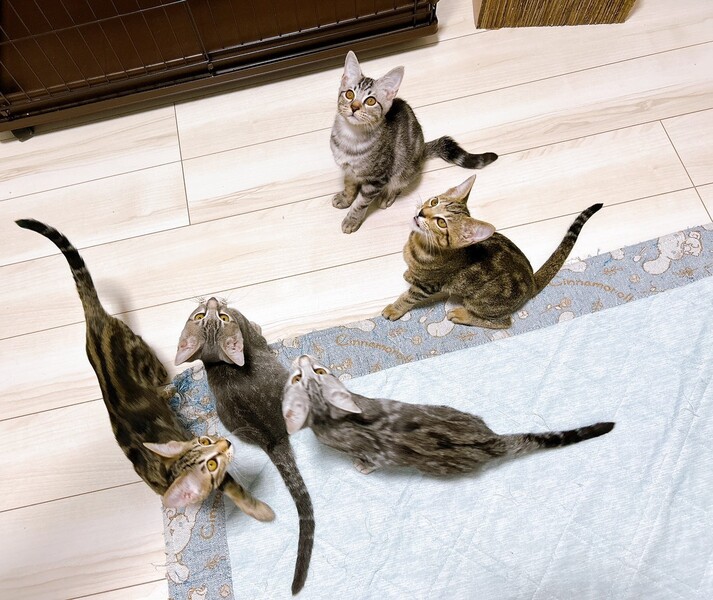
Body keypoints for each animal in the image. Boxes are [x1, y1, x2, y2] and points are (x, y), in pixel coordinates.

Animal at [15, 219, 273, 520]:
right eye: (210, 460)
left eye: (206, 442)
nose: (223, 442)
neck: (166, 472)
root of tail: (95, 321)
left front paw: (261, 511)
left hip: (144, 354)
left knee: (159, 374)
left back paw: (168, 387)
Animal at [175, 298, 314, 595]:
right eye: (202, 316)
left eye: (219, 317)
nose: (212, 299)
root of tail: (272, 438)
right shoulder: (249, 328)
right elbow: (258, 332)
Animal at [283, 355, 615, 475]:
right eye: (299, 376)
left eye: (318, 371)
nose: (302, 356)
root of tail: (492, 441)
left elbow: (370, 461)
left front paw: (362, 467)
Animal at [330, 50, 498, 234]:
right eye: (349, 94)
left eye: (371, 101)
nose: (354, 107)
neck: (351, 137)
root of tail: (422, 149)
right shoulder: (348, 170)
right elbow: (349, 184)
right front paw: (345, 198)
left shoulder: (377, 179)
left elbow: (361, 203)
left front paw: (352, 219)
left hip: (403, 171)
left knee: (398, 184)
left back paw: (387, 196)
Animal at [382, 175, 603, 328]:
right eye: (434, 201)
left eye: (441, 222)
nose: (421, 212)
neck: (417, 244)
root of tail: (532, 281)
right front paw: (409, 273)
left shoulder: (428, 286)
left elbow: (409, 297)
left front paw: (394, 309)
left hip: (478, 301)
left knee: (503, 323)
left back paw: (462, 315)